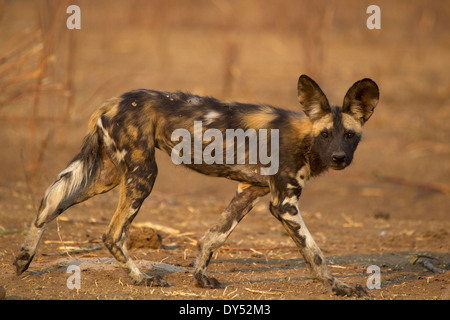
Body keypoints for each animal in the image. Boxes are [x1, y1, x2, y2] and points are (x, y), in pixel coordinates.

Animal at [14, 74, 378, 296]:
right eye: (325, 135)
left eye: (350, 135)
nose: (339, 158)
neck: (305, 139)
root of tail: (111, 102)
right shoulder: (284, 204)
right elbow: (315, 253)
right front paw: (338, 286)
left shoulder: (249, 192)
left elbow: (213, 237)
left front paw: (200, 277)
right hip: (143, 174)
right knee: (113, 234)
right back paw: (141, 278)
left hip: (108, 175)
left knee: (49, 203)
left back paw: (23, 259)